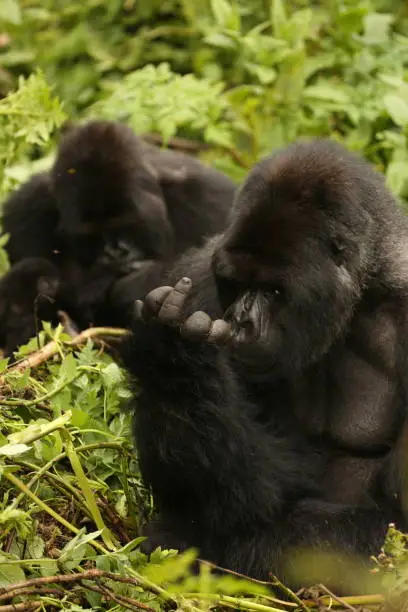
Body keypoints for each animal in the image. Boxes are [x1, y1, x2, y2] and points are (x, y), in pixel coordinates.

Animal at [120, 140, 408, 592]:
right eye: (237, 284)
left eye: (274, 290)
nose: (241, 320)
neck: (363, 294)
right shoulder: (200, 278)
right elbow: (207, 493)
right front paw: (171, 364)